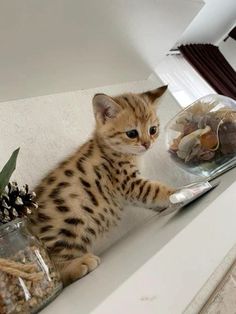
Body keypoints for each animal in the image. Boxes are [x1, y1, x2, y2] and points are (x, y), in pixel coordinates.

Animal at [28, 84, 176, 286]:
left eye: (153, 130)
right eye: (132, 133)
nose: (147, 144)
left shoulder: (131, 190)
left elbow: (151, 199)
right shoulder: (130, 184)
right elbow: (157, 190)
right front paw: (180, 191)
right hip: (69, 220)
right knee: (56, 271)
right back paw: (78, 264)